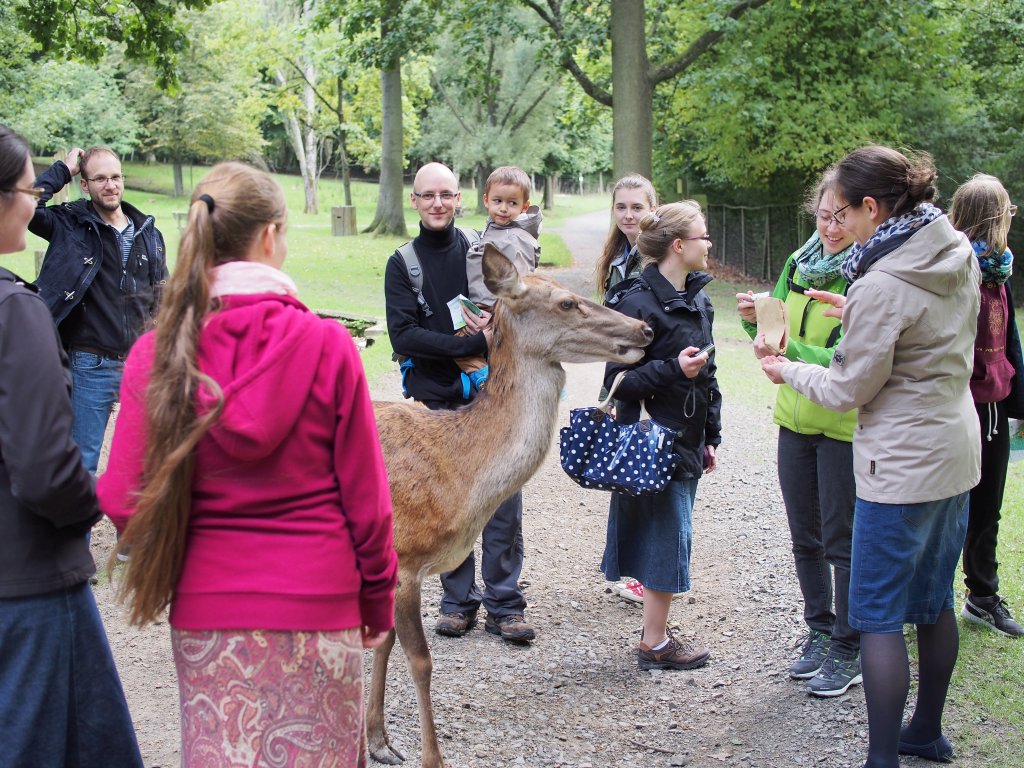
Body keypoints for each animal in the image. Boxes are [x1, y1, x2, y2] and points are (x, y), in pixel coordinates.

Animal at [367, 245, 653, 768]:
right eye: (566, 303)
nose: (644, 329)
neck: (459, 477)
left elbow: (386, 642)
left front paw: (380, 743)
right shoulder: (405, 557)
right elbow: (420, 659)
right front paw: (431, 758)